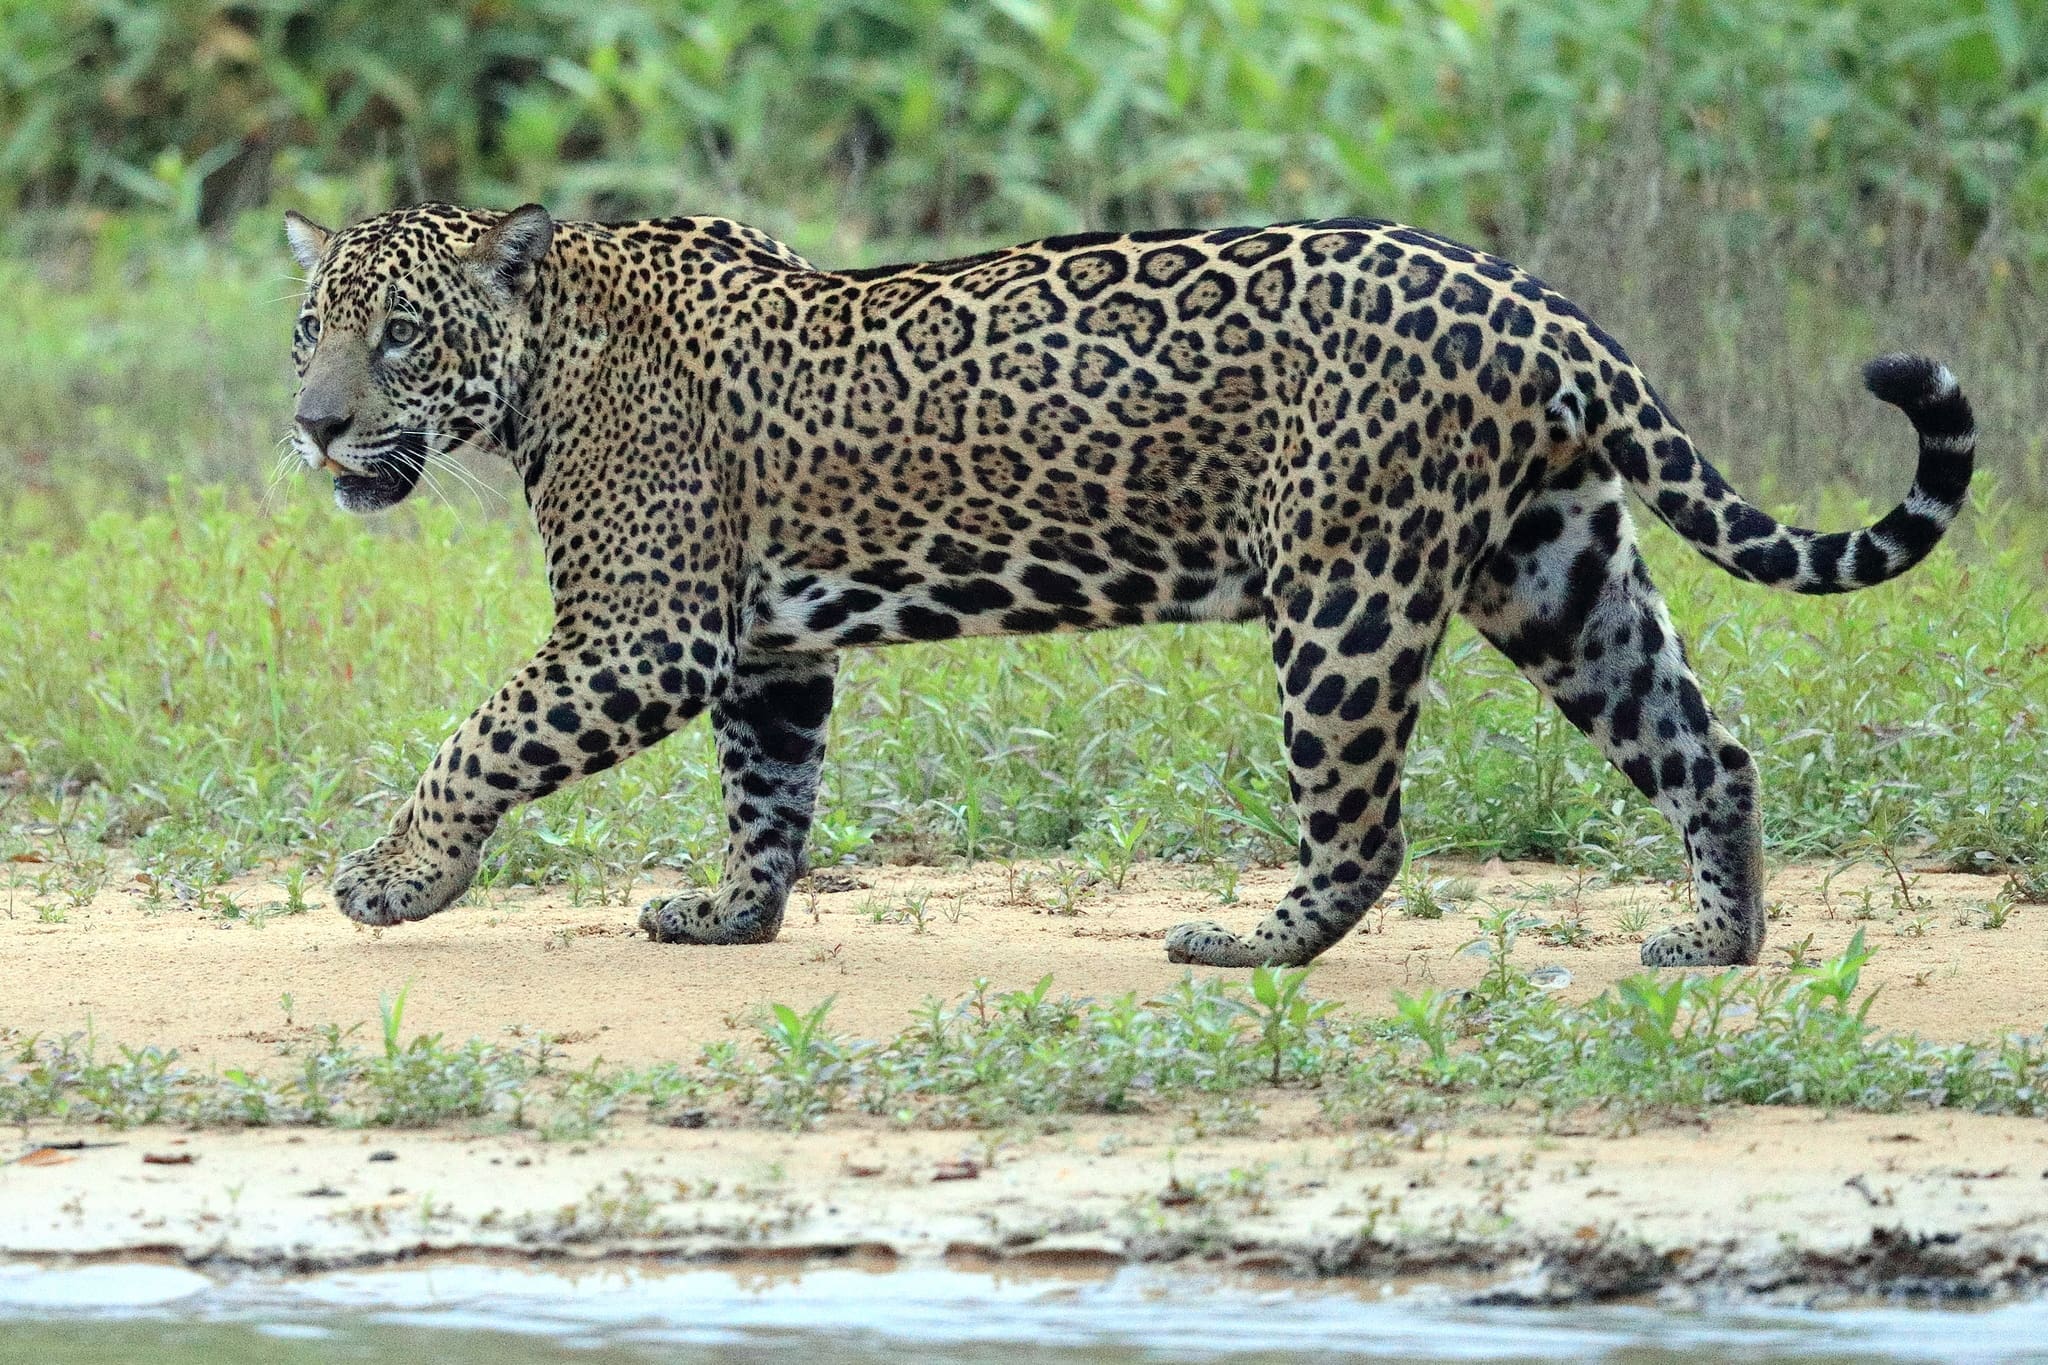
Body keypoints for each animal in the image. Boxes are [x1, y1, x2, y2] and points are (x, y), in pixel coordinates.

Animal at [284, 201, 1976, 970]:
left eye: (402, 337)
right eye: (310, 327)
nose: (312, 425)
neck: (537, 363)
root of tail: (1538, 300)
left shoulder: (643, 637)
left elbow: (480, 736)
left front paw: (394, 880)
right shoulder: (766, 648)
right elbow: (770, 787)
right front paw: (732, 914)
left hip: (1346, 594)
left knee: (1368, 823)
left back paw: (1250, 946)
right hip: (1554, 572)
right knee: (1710, 746)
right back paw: (1718, 940)